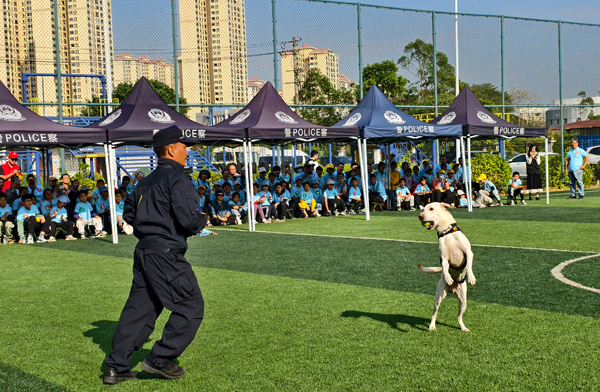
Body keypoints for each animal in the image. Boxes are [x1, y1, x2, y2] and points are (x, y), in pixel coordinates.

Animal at [420, 204, 476, 332]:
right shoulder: (444, 257)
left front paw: (471, 277)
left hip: (463, 301)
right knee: (434, 312)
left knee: (459, 316)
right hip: (438, 297)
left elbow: (468, 265)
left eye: (431, 208)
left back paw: (463, 327)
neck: (447, 232)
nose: (420, 216)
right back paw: (432, 325)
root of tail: (452, 290)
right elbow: (445, 268)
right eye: (423, 209)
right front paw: (448, 277)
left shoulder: (468, 252)